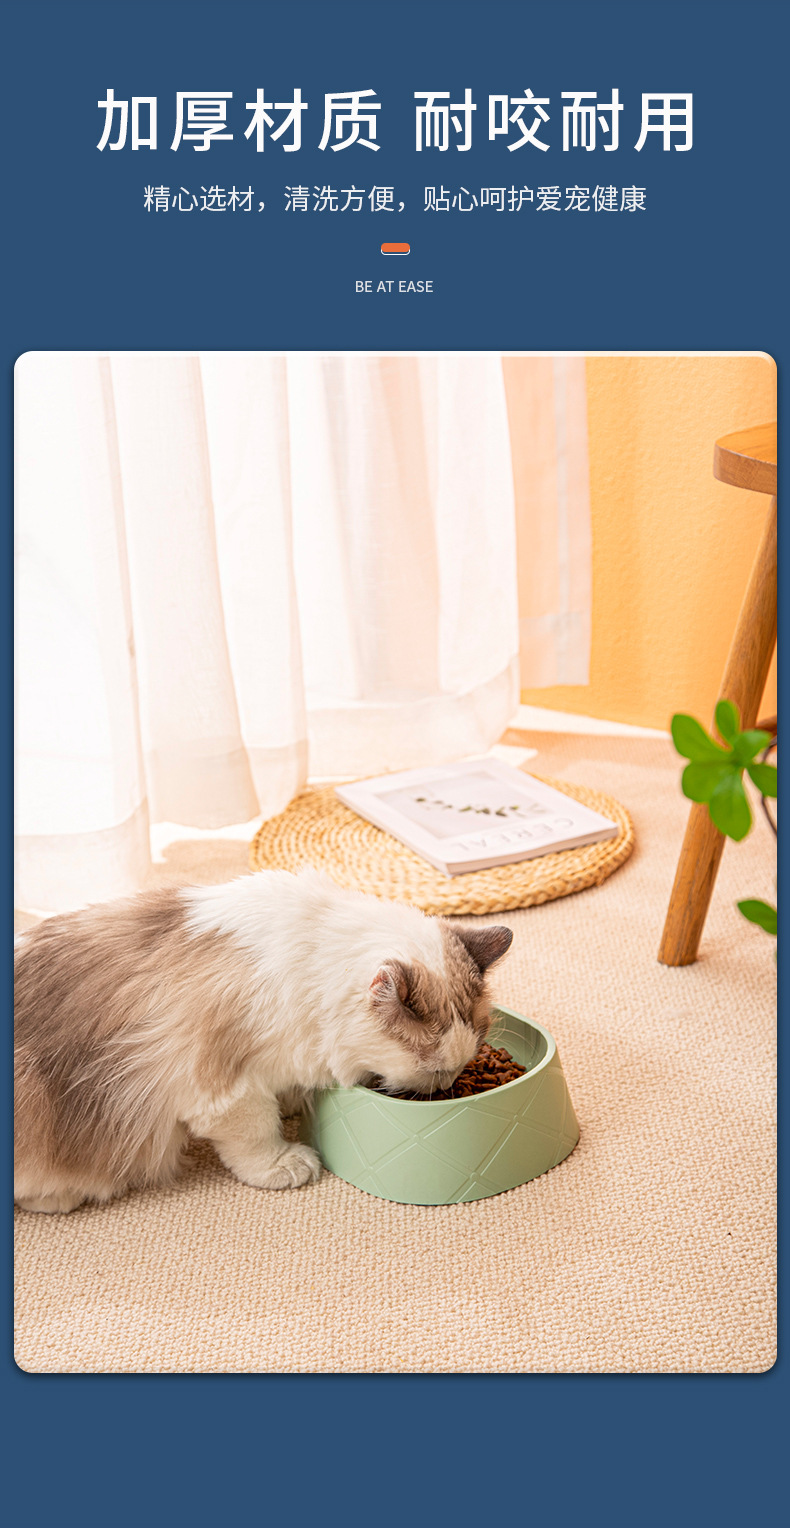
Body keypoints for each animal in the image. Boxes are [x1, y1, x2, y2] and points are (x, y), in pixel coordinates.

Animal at [14, 868, 513, 1213]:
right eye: (435, 1071)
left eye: (459, 1068)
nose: (445, 1086)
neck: (308, 965)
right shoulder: (224, 1088)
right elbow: (256, 1134)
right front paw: (286, 1161)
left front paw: (295, 1103)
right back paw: (61, 1196)